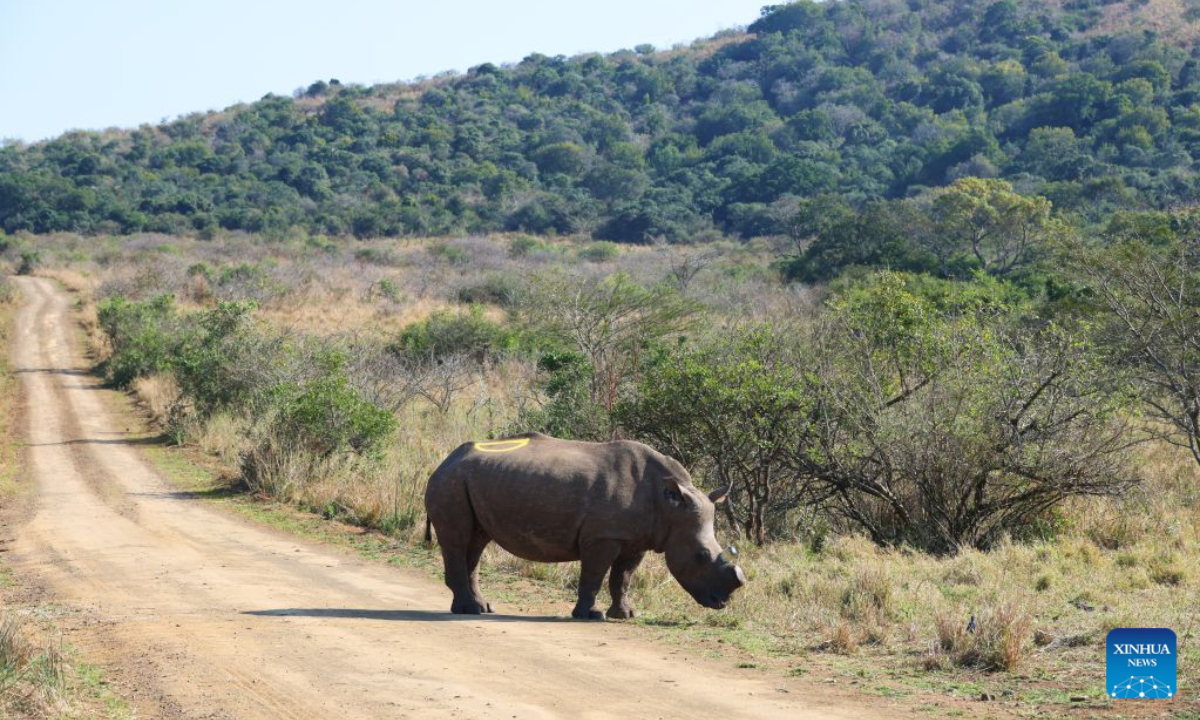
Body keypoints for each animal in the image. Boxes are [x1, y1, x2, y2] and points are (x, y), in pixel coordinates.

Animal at [424, 432, 746, 619]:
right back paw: (469, 610)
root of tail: (445, 461)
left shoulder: (636, 539)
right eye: (701, 556)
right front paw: (591, 615)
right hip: (451, 483)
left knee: (476, 541)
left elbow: (623, 578)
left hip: (470, 482)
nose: (721, 603)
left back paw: (482, 608)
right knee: (458, 539)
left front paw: (626, 615)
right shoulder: (603, 536)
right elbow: (594, 575)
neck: (669, 505)